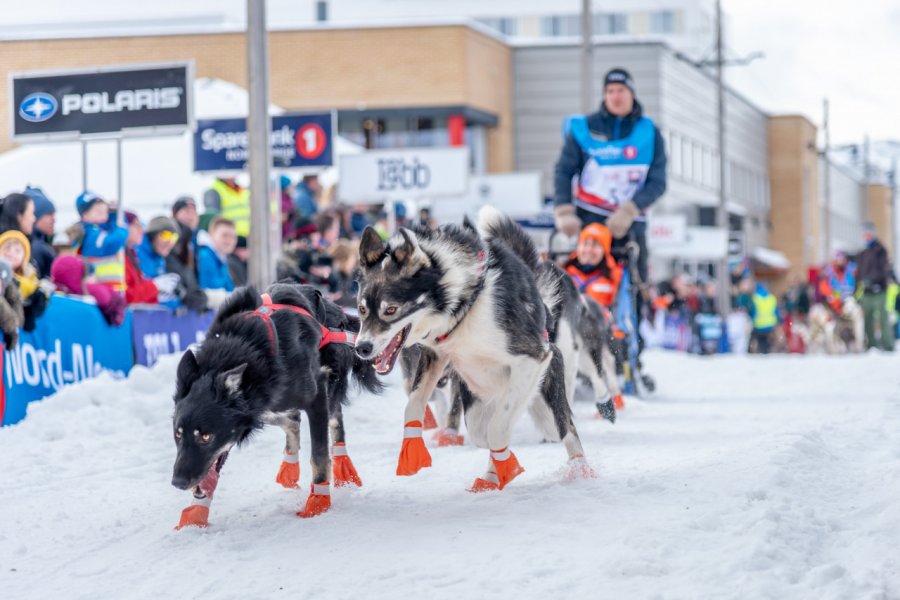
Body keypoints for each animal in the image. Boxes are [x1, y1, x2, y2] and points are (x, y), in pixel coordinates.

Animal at [171, 284, 380, 528]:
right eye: (178, 434)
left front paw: (318, 502)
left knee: (335, 419)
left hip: (329, 385)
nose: (177, 482)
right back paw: (290, 465)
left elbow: (319, 455)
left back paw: (342, 464)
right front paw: (196, 511)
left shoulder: (316, 395)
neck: (246, 348)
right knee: (292, 420)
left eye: (205, 437)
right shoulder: (258, 407)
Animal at [356, 206, 596, 492]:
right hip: (478, 400)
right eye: (361, 309)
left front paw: (508, 466)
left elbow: (497, 429)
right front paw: (412, 449)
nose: (362, 348)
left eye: (390, 309)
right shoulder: (436, 355)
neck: (465, 302)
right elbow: (414, 405)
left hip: (545, 391)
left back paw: (579, 467)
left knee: (560, 426)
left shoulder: (532, 357)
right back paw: (492, 475)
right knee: (487, 429)